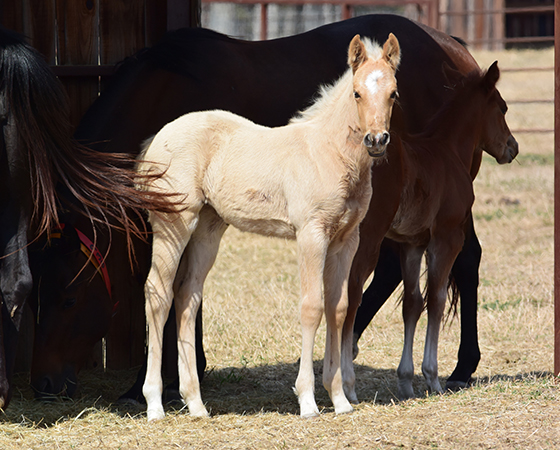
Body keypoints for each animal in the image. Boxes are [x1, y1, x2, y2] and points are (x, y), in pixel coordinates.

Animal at [138, 33, 400, 420]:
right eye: (356, 93)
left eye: (393, 93)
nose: (377, 140)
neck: (330, 154)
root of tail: (157, 137)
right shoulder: (311, 234)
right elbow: (312, 307)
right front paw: (307, 401)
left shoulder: (346, 239)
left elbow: (338, 308)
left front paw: (339, 399)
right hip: (175, 222)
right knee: (158, 292)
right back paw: (154, 403)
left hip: (208, 228)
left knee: (188, 296)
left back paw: (196, 403)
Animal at [340, 61, 520, 402]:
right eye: (503, 108)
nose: (512, 147)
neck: (447, 150)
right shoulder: (446, 238)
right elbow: (436, 300)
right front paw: (433, 377)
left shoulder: (412, 243)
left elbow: (412, 304)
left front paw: (405, 380)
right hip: (367, 239)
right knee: (351, 295)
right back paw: (346, 383)